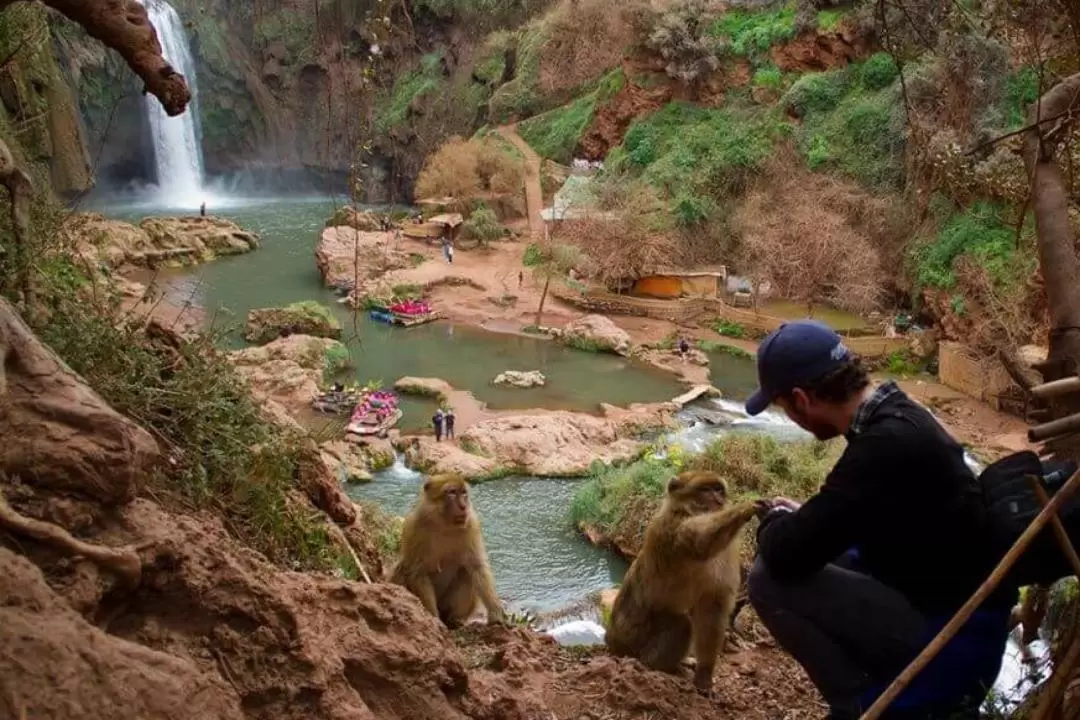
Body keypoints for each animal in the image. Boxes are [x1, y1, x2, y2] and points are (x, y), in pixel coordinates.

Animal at [388, 472, 505, 626]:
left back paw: (454, 620)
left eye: (463, 493)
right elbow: (418, 572)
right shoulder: (414, 526)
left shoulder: (471, 523)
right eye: (452, 492)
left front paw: (496, 612)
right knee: (402, 568)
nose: (463, 506)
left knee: (467, 572)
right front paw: (433, 619)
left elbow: (477, 566)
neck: (443, 523)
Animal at [609, 470, 760, 695]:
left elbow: (712, 611)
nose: (718, 500)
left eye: (718, 489)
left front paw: (704, 674)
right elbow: (701, 543)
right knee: (681, 624)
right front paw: (746, 508)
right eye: (705, 489)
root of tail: (612, 640)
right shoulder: (672, 529)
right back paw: (654, 666)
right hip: (635, 636)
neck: (689, 511)